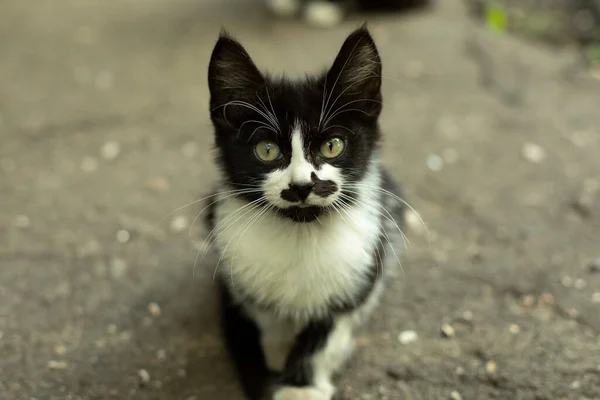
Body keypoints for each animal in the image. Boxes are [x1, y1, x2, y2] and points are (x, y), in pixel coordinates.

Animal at [204, 26, 406, 398]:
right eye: (267, 150)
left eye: (332, 145)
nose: (301, 186)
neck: (300, 232)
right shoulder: (231, 276)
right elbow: (250, 331)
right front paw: (272, 363)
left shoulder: (362, 271)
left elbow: (328, 328)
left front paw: (300, 385)